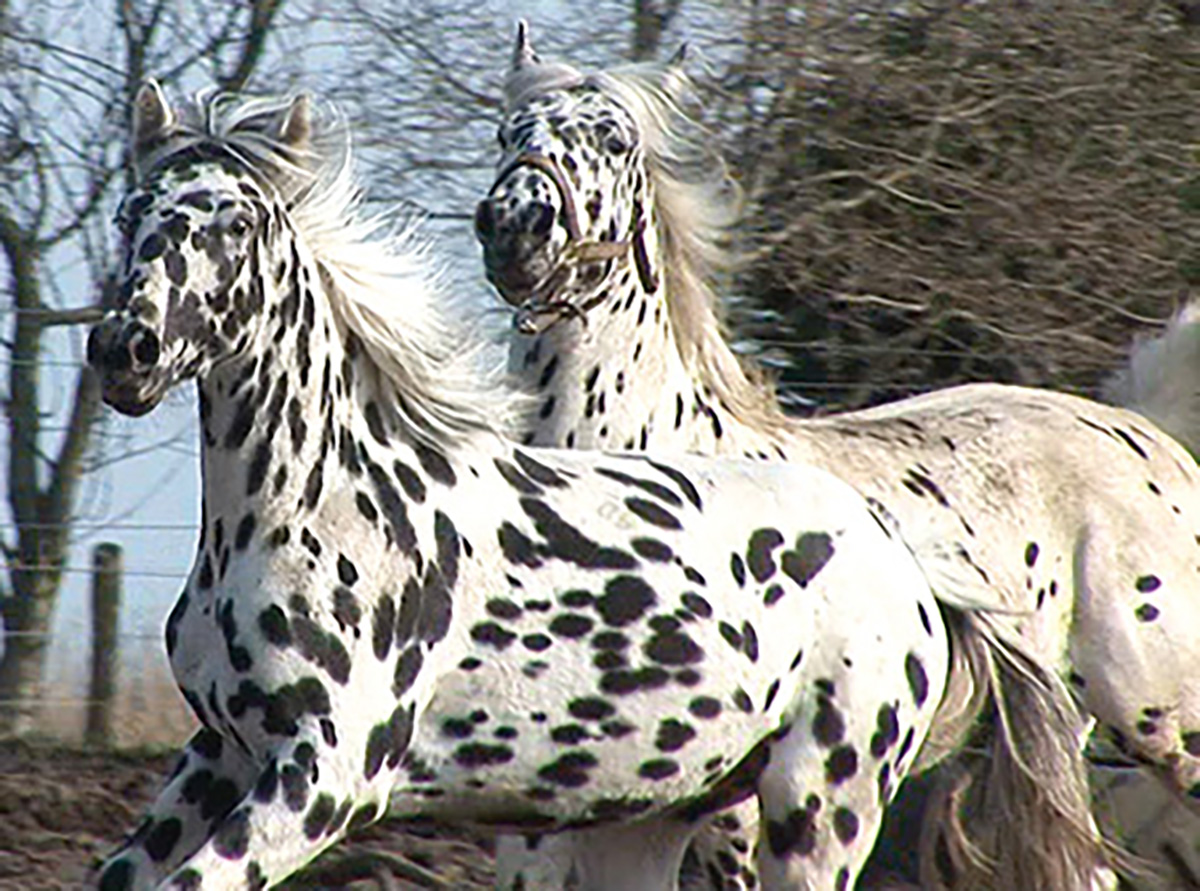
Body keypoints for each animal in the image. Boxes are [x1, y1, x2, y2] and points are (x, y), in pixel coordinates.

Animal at [87, 80, 1003, 888]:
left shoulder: (324, 780)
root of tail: (899, 556)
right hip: (650, 817)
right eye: (131, 215)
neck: (319, 507)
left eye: (236, 221)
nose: (125, 348)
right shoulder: (221, 752)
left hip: (815, 811)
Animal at [475, 22, 1200, 891]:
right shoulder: (547, 819)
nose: (515, 226)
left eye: (615, 140)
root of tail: (1152, 436)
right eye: (506, 134)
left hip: (1159, 721)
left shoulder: (737, 813)